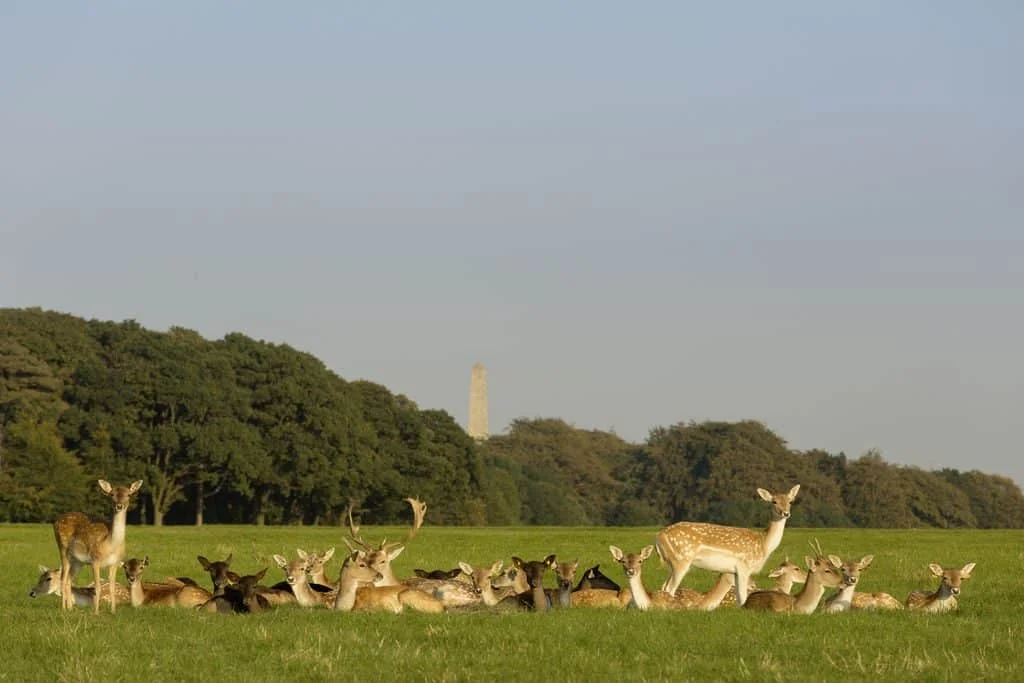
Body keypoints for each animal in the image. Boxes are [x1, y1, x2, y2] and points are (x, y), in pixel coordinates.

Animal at [51, 481, 143, 614]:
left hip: (78, 561)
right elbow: (97, 587)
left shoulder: (115, 563)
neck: (110, 545)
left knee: (69, 580)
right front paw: (96, 612)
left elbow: (112, 586)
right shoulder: (95, 560)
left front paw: (113, 611)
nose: (119, 506)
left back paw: (70, 608)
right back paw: (63, 609)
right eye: (112, 494)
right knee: (63, 579)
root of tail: (55, 521)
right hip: (63, 548)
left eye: (129, 494)